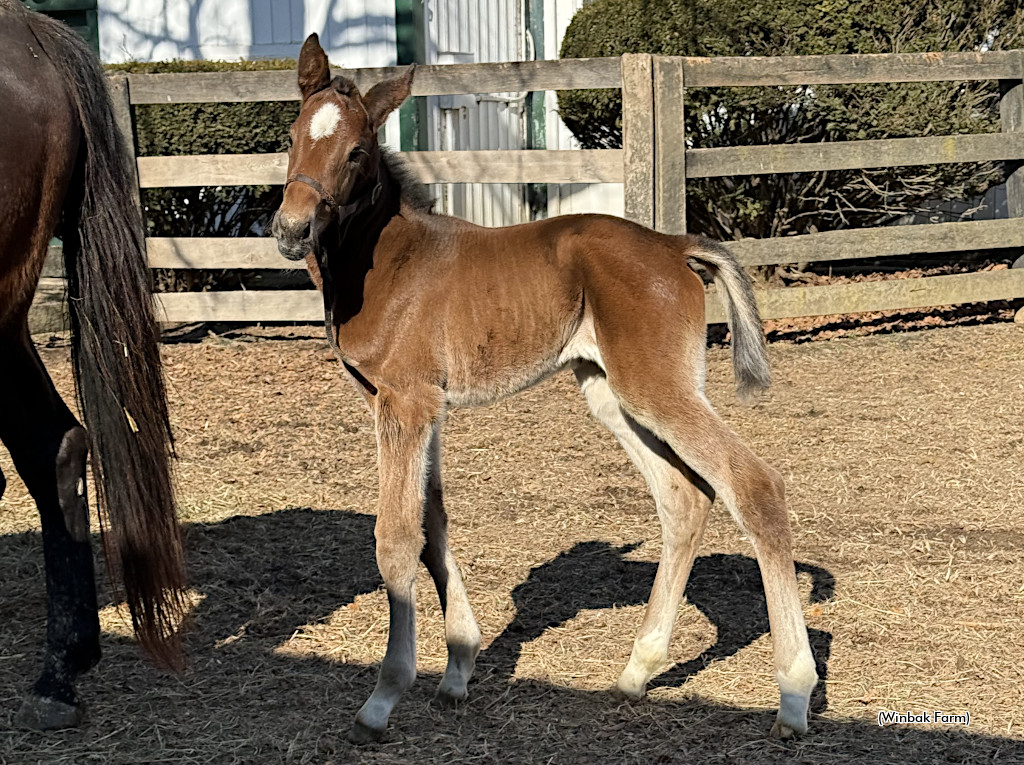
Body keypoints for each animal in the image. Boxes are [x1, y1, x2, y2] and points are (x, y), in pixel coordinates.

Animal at [272, 34, 815, 741]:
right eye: (291, 135)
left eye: (356, 151)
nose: (290, 230)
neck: (387, 261)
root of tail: (674, 245)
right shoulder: (424, 409)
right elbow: (434, 523)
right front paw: (458, 669)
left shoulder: (404, 402)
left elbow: (396, 540)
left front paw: (384, 696)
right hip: (610, 394)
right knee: (684, 498)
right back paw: (638, 670)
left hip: (657, 390)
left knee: (754, 486)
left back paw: (795, 694)